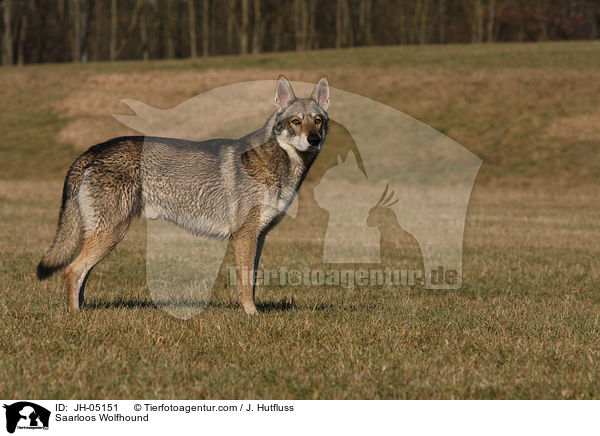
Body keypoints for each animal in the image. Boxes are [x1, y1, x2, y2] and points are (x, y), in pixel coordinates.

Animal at [38, 75, 328, 314]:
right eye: (295, 121)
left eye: (318, 121)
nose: (313, 140)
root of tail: (93, 150)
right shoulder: (244, 236)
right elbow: (245, 284)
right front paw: (251, 315)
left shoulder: (259, 237)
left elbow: (252, 280)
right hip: (111, 233)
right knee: (72, 271)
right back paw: (76, 315)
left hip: (105, 237)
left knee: (81, 275)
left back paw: (84, 310)